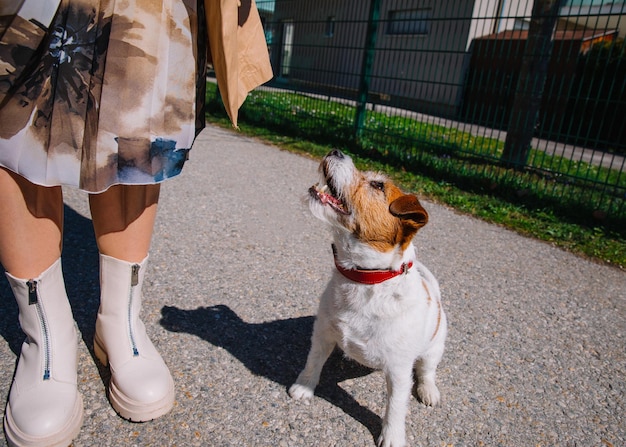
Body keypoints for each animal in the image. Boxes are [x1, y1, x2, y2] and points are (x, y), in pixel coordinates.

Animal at [288, 150, 444, 447]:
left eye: (378, 185)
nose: (336, 151)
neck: (363, 278)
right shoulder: (322, 334)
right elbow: (313, 362)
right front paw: (304, 387)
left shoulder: (398, 370)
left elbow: (395, 406)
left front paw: (392, 436)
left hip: (434, 349)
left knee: (426, 371)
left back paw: (429, 391)